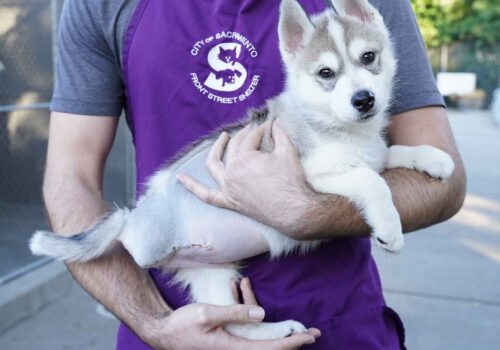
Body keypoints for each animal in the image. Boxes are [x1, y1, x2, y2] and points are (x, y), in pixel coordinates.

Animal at [30, 0, 454, 340]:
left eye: (369, 57)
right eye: (326, 74)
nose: (364, 100)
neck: (338, 127)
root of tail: (131, 219)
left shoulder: (370, 151)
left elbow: (389, 153)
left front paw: (433, 158)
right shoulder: (309, 176)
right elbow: (371, 179)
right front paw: (389, 228)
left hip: (213, 273)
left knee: (233, 324)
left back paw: (275, 330)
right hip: (167, 249)